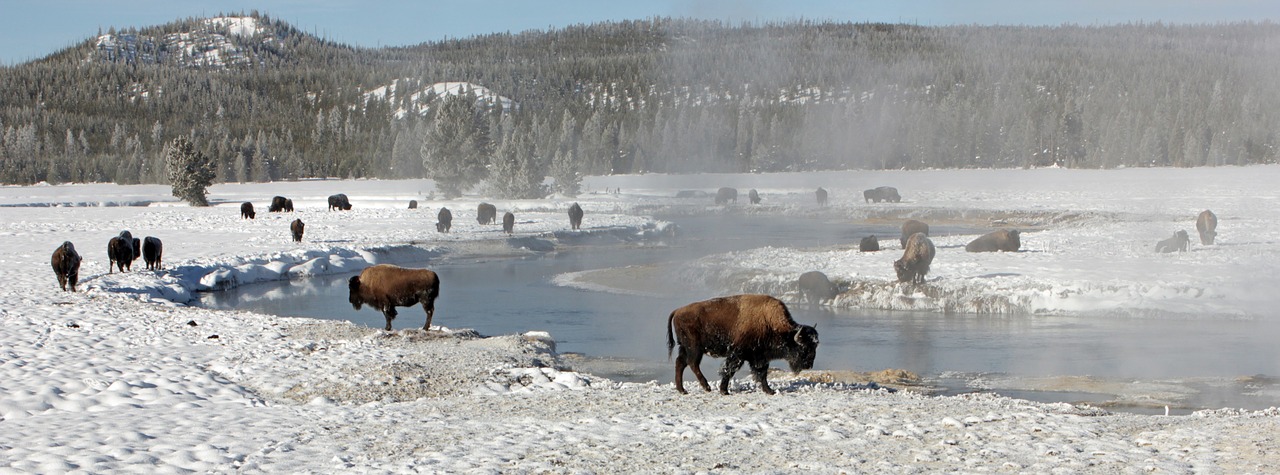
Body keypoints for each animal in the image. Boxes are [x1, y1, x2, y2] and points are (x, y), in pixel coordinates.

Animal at [670, 295, 819, 396]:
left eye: (815, 346)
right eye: (804, 347)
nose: (809, 365)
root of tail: (677, 311)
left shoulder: (759, 358)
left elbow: (762, 373)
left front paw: (769, 390)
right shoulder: (738, 355)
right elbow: (729, 370)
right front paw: (724, 391)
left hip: (685, 348)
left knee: (680, 363)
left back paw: (682, 390)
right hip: (694, 348)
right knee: (692, 363)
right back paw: (706, 387)